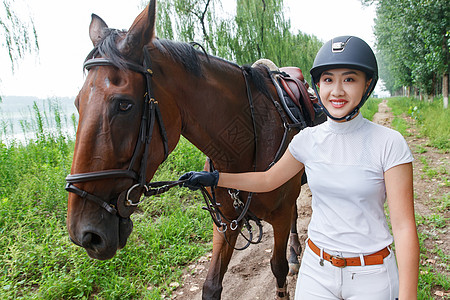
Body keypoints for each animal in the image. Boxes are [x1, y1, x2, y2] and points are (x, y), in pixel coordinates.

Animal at [66, 1, 316, 298]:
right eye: (77, 102)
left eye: (124, 104)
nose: (84, 234)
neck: (245, 144)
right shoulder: (226, 223)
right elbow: (211, 285)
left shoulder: (278, 216)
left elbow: (278, 267)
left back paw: (294, 252)